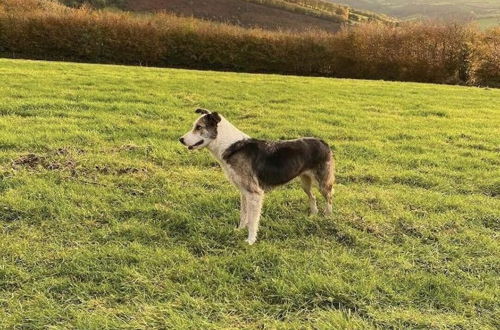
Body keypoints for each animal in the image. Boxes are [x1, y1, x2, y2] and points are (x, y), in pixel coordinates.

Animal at [180, 109, 336, 245]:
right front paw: (239, 230)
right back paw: (313, 215)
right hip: (305, 182)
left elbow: (252, 220)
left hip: (322, 183)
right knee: (313, 197)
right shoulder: (243, 192)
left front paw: (250, 241)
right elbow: (244, 215)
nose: (180, 139)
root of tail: (323, 142)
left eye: (199, 127)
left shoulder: (254, 193)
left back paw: (327, 217)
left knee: (329, 197)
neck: (230, 146)